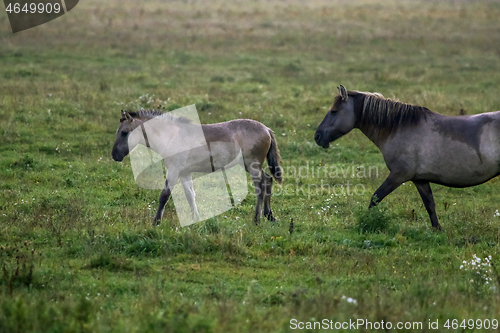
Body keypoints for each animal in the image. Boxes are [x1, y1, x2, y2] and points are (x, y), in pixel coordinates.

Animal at [112, 110, 282, 224]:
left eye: (125, 132)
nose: (115, 156)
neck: (171, 136)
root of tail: (266, 129)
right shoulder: (184, 173)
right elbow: (190, 195)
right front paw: (196, 219)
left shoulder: (173, 171)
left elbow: (164, 196)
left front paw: (156, 222)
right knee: (268, 180)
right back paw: (269, 215)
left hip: (252, 165)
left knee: (261, 186)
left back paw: (257, 218)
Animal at [314, 85, 500, 230]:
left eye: (334, 111)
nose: (317, 136)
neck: (399, 129)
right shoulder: (420, 179)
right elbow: (430, 205)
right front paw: (437, 230)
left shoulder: (399, 175)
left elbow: (375, 197)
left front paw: (366, 222)